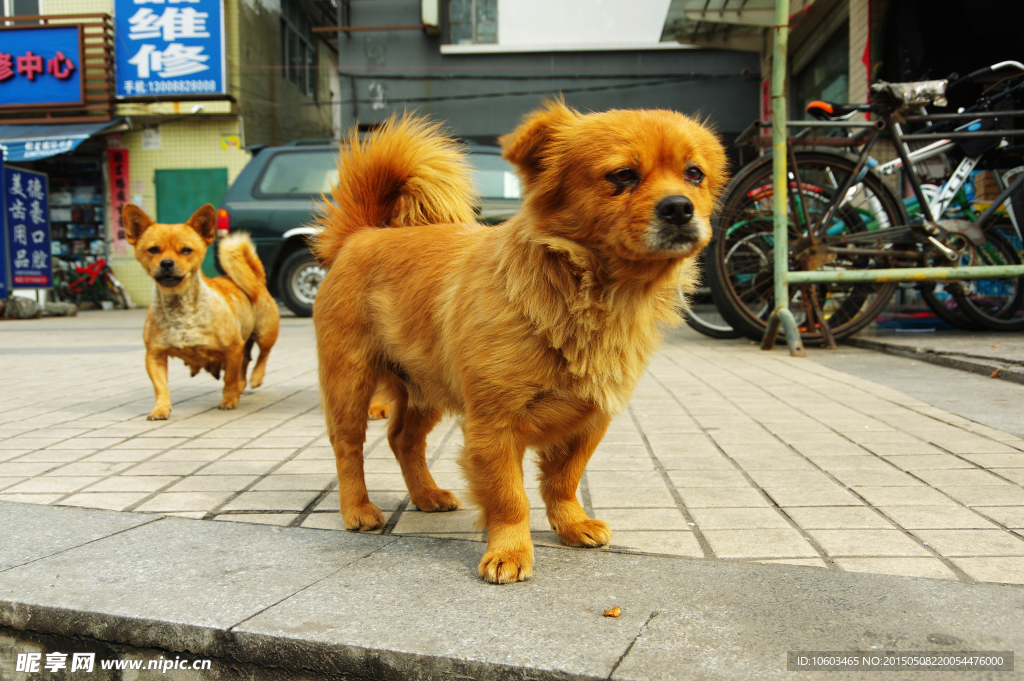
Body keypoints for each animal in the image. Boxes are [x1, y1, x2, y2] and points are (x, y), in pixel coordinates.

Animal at [123, 200, 280, 419]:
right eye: (153, 250)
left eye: (186, 250)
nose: (166, 263)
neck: (179, 307)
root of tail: (256, 277)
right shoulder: (155, 355)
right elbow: (161, 387)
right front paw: (160, 408)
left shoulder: (232, 349)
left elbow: (229, 379)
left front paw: (229, 400)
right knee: (246, 360)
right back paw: (242, 386)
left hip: (265, 333)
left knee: (262, 356)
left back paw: (255, 378)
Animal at [315, 102, 724, 585]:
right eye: (623, 176)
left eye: (694, 174)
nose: (679, 207)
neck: (594, 297)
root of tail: (360, 235)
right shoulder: (494, 426)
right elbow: (511, 498)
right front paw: (509, 551)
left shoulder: (590, 421)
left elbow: (563, 480)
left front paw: (571, 525)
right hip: (350, 382)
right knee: (348, 447)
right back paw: (358, 508)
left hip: (424, 388)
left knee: (403, 441)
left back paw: (427, 494)